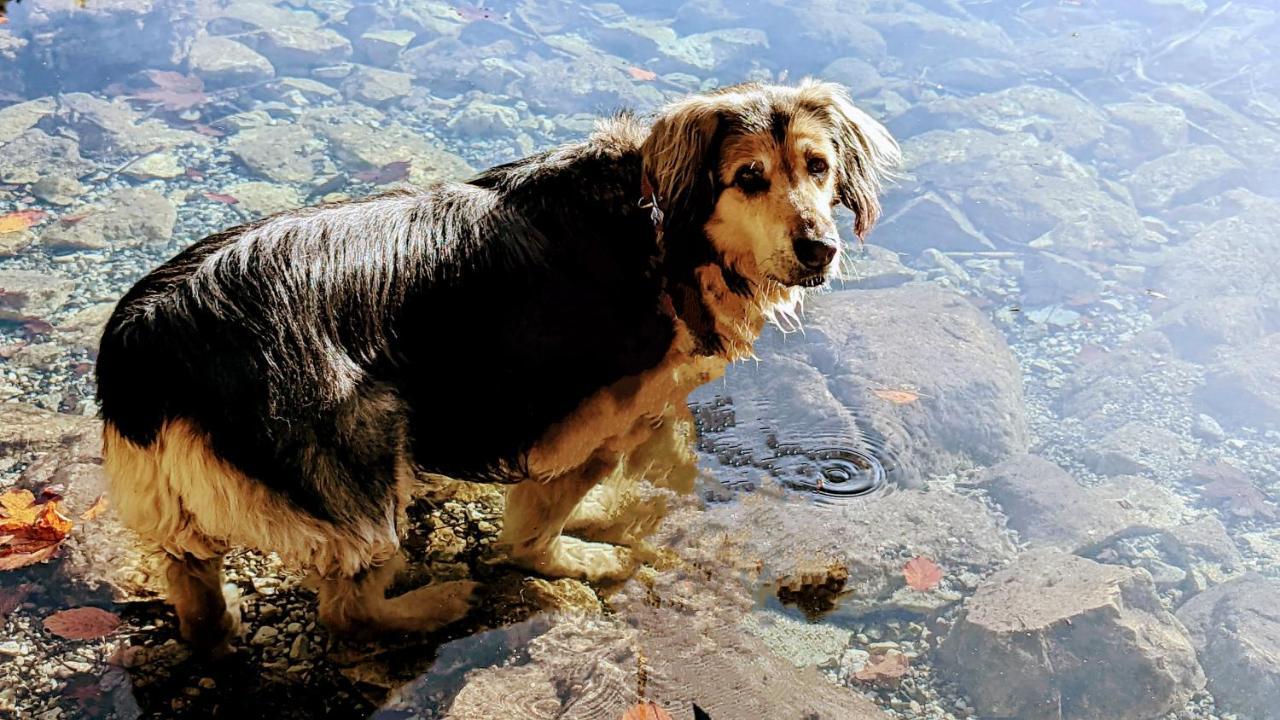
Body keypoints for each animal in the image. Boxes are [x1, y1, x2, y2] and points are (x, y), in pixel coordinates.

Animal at [94, 79, 901, 655]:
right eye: (748, 177)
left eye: (819, 168)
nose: (820, 250)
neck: (667, 227)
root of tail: (149, 338)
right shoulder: (588, 419)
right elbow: (539, 530)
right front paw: (584, 553)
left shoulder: (651, 407)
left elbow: (661, 470)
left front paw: (620, 513)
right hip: (366, 448)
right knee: (347, 611)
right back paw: (434, 602)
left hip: (184, 506)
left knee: (193, 583)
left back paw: (221, 618)